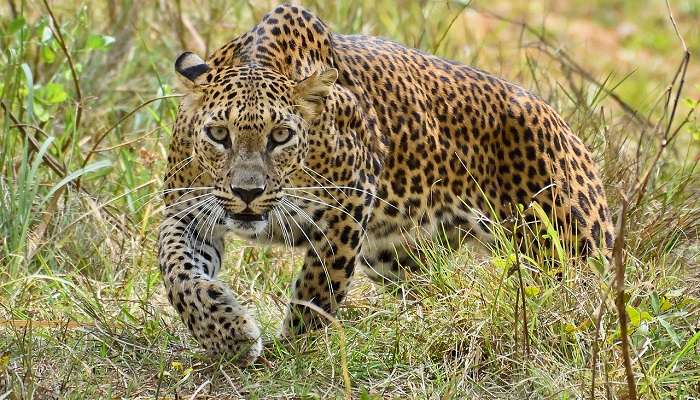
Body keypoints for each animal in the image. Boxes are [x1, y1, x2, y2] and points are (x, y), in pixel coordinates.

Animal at [159, 3, 612, 366]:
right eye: (219, 134)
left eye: (281, 136)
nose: (248, 193)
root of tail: (561, 121)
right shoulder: (186, 211)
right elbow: (178, 273)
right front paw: (228, 334)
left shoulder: (347, 207)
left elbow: (318, 289)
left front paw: (291, 350)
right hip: (396, 255)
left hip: (569, 245)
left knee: (592, 295)